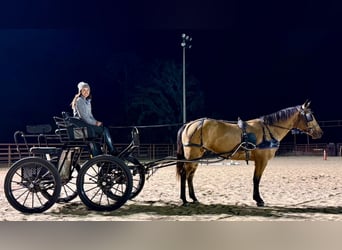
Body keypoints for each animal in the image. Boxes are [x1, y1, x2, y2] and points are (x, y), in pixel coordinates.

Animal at [176, 100, 324, 207]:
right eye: (310, 116)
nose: (320, 133)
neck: (268, 130)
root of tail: (189, 124)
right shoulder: (261, 161)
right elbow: (256, 179)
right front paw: (259, 200)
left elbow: (255, 179)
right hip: (192, 156)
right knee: (184, 174)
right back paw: (184, 200)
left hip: (196, 157)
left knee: (190, 176)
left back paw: (194, 198)